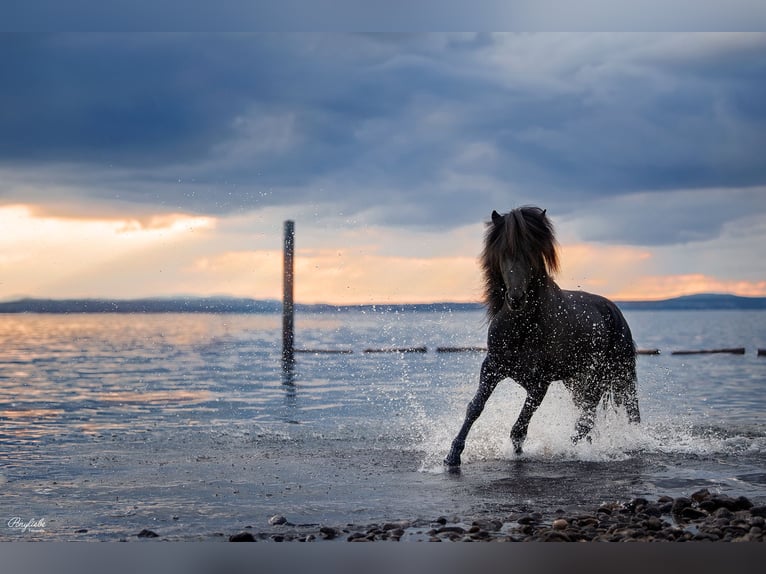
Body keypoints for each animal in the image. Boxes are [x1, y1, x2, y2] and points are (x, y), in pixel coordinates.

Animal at [444, 206, 640, 467]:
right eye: (503, 253)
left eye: (531, 253)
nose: (516, 298)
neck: (523, 327)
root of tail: (614, 310)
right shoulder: (492, 367)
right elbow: (475, 407)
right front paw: (452, 455)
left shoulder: (539, 384)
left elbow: (519, 428)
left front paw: (519, 455)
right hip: (576, 381)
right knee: (587, 417)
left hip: (612, 375)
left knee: (609, 414)